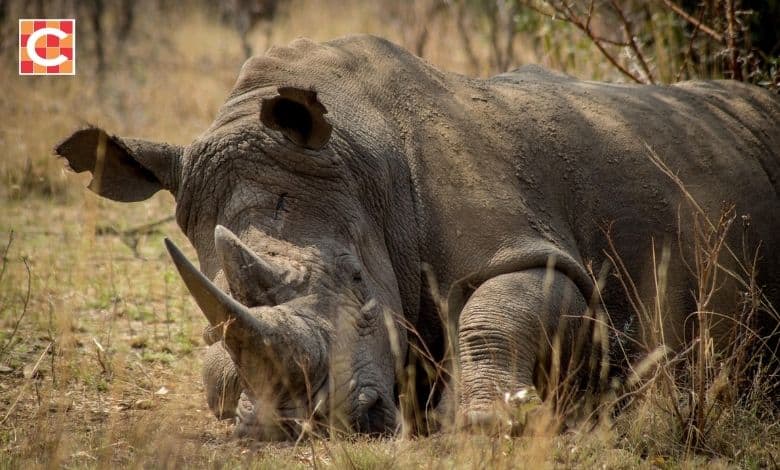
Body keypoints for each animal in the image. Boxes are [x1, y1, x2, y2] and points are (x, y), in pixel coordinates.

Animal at [56, 35, 780, 439]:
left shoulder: (527, 246)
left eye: (357, 282)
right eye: (211, 322)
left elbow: (495, 310)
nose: (312, 425)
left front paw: (489, 421)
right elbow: (215, 376)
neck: (359, 155)